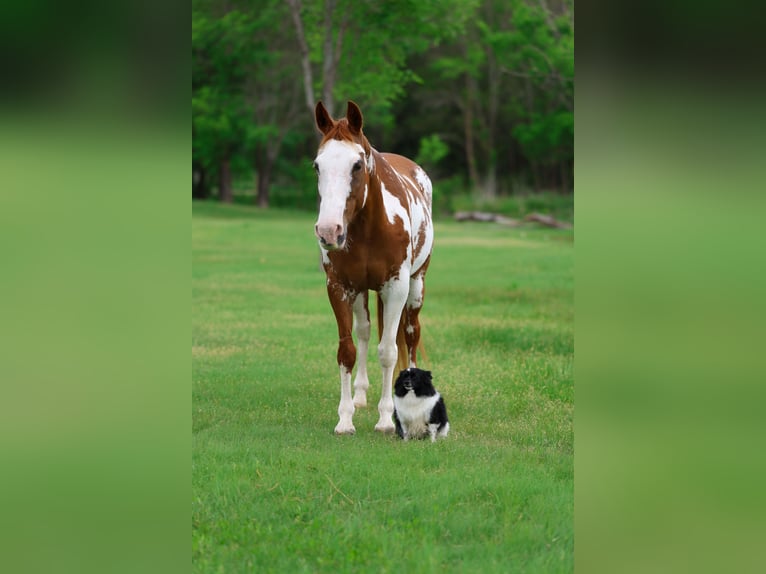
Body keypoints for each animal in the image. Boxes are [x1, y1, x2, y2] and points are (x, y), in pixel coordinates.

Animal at [313, 100, 434, 435]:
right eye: (317, 165)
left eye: (357, 165)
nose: (328, 232)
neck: (370, 228)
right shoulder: (340, 287)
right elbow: (347, 351)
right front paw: (345, 419)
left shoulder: (396, 288)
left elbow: (389, 352)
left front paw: (385, 419)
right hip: (363, 292)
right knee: (366, 332)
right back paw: (360, 396)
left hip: (416, 286)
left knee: (410, 334)